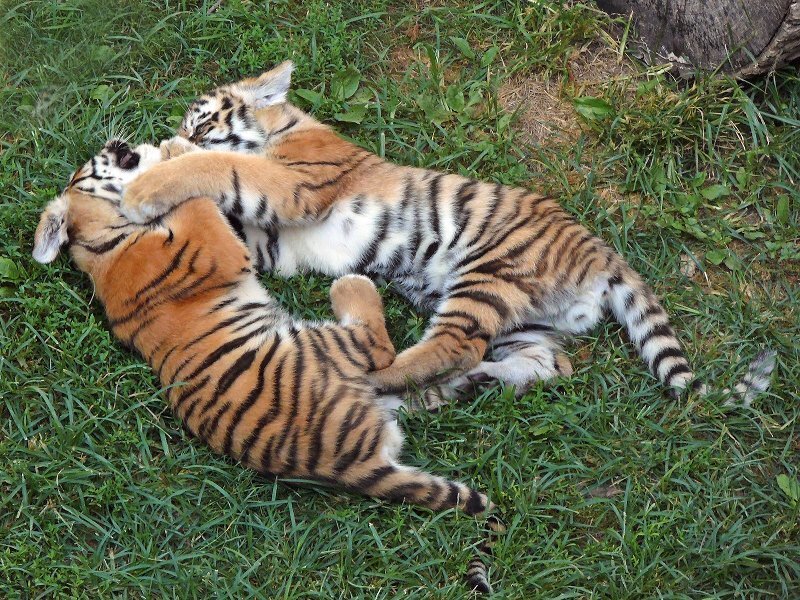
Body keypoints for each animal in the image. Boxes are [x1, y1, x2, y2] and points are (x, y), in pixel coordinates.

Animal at [32, 139, 503, 594]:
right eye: (96, 161)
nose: (117, 142)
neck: (100, 239)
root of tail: (354, 468)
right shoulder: (210, 248)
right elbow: (197, 205)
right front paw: (171, 153)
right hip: (314, 346)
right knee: (378, 347)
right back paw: (352, 284)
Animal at [120, 61, 776, 407]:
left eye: (202, 119)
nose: (179, 130)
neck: (287, 126)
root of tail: (603, 252)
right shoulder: (271, 235)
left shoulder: (294, 186)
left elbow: (221, 166)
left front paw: (151, 176)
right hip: (525, 318)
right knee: (541, 363)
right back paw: (473, 383)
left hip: (488, 272)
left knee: (452, 344)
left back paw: (380, 377)